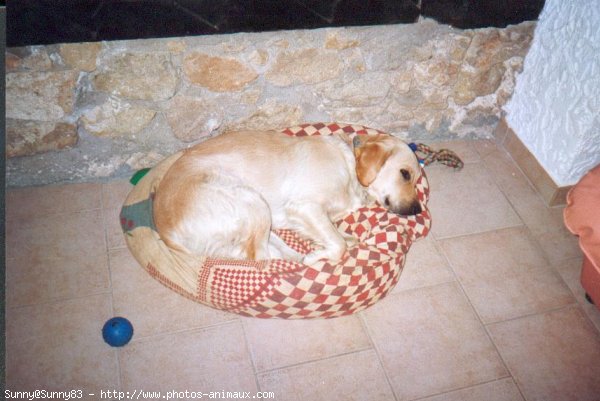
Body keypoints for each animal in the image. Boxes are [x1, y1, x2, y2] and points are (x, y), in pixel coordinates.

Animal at [152, 130, 420, 264]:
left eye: (416, 178)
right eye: (405, 174)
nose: (417, 209)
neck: (349, 164)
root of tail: (165, 232)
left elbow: (337, 235)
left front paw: (327, 242)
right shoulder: (304, 206)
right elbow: (338, 245)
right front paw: (320, 255)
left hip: (259, 215)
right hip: (250, 200)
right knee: (259, 256)